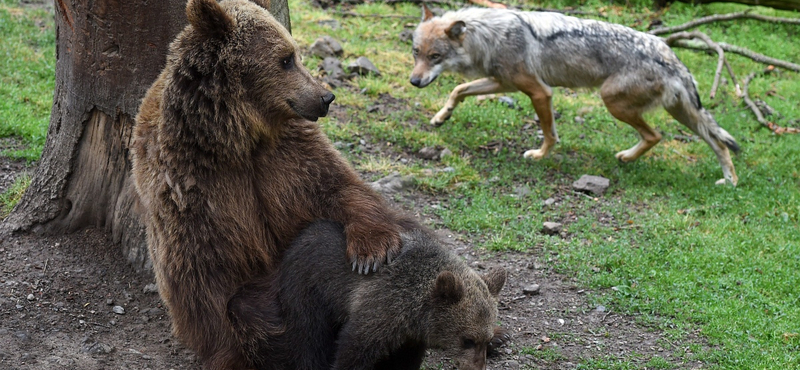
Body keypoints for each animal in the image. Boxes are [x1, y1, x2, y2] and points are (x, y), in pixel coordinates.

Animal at [130, 0, 418, 368]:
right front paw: (233, 351)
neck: (240, 136)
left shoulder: (289, 156)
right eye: (285, 59)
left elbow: (341, 188)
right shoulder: (192, 186)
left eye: (295, 54)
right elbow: (203, 278)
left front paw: (371, 251)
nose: (325, 97)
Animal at [228, 220, 510, 370]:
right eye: (468, 339)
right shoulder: (381, 307)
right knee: (308, 336)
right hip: (307, 289)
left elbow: (405, 360)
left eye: (485, 339)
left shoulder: (411, 336)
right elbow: (352, 349)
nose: (477, 366)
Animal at [410, 5, 740, 185]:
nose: (414, 81)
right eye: (416, 52)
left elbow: (549, 133)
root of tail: (671, 55)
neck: (488, 35)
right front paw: (441, 118)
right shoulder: (503, 83)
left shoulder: (539, 92)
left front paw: (539, 155)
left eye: (435, 56)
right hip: (679, 112)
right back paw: (730, 181)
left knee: (656, 135)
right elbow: (458, 90)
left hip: (613, 103)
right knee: (716, 144)